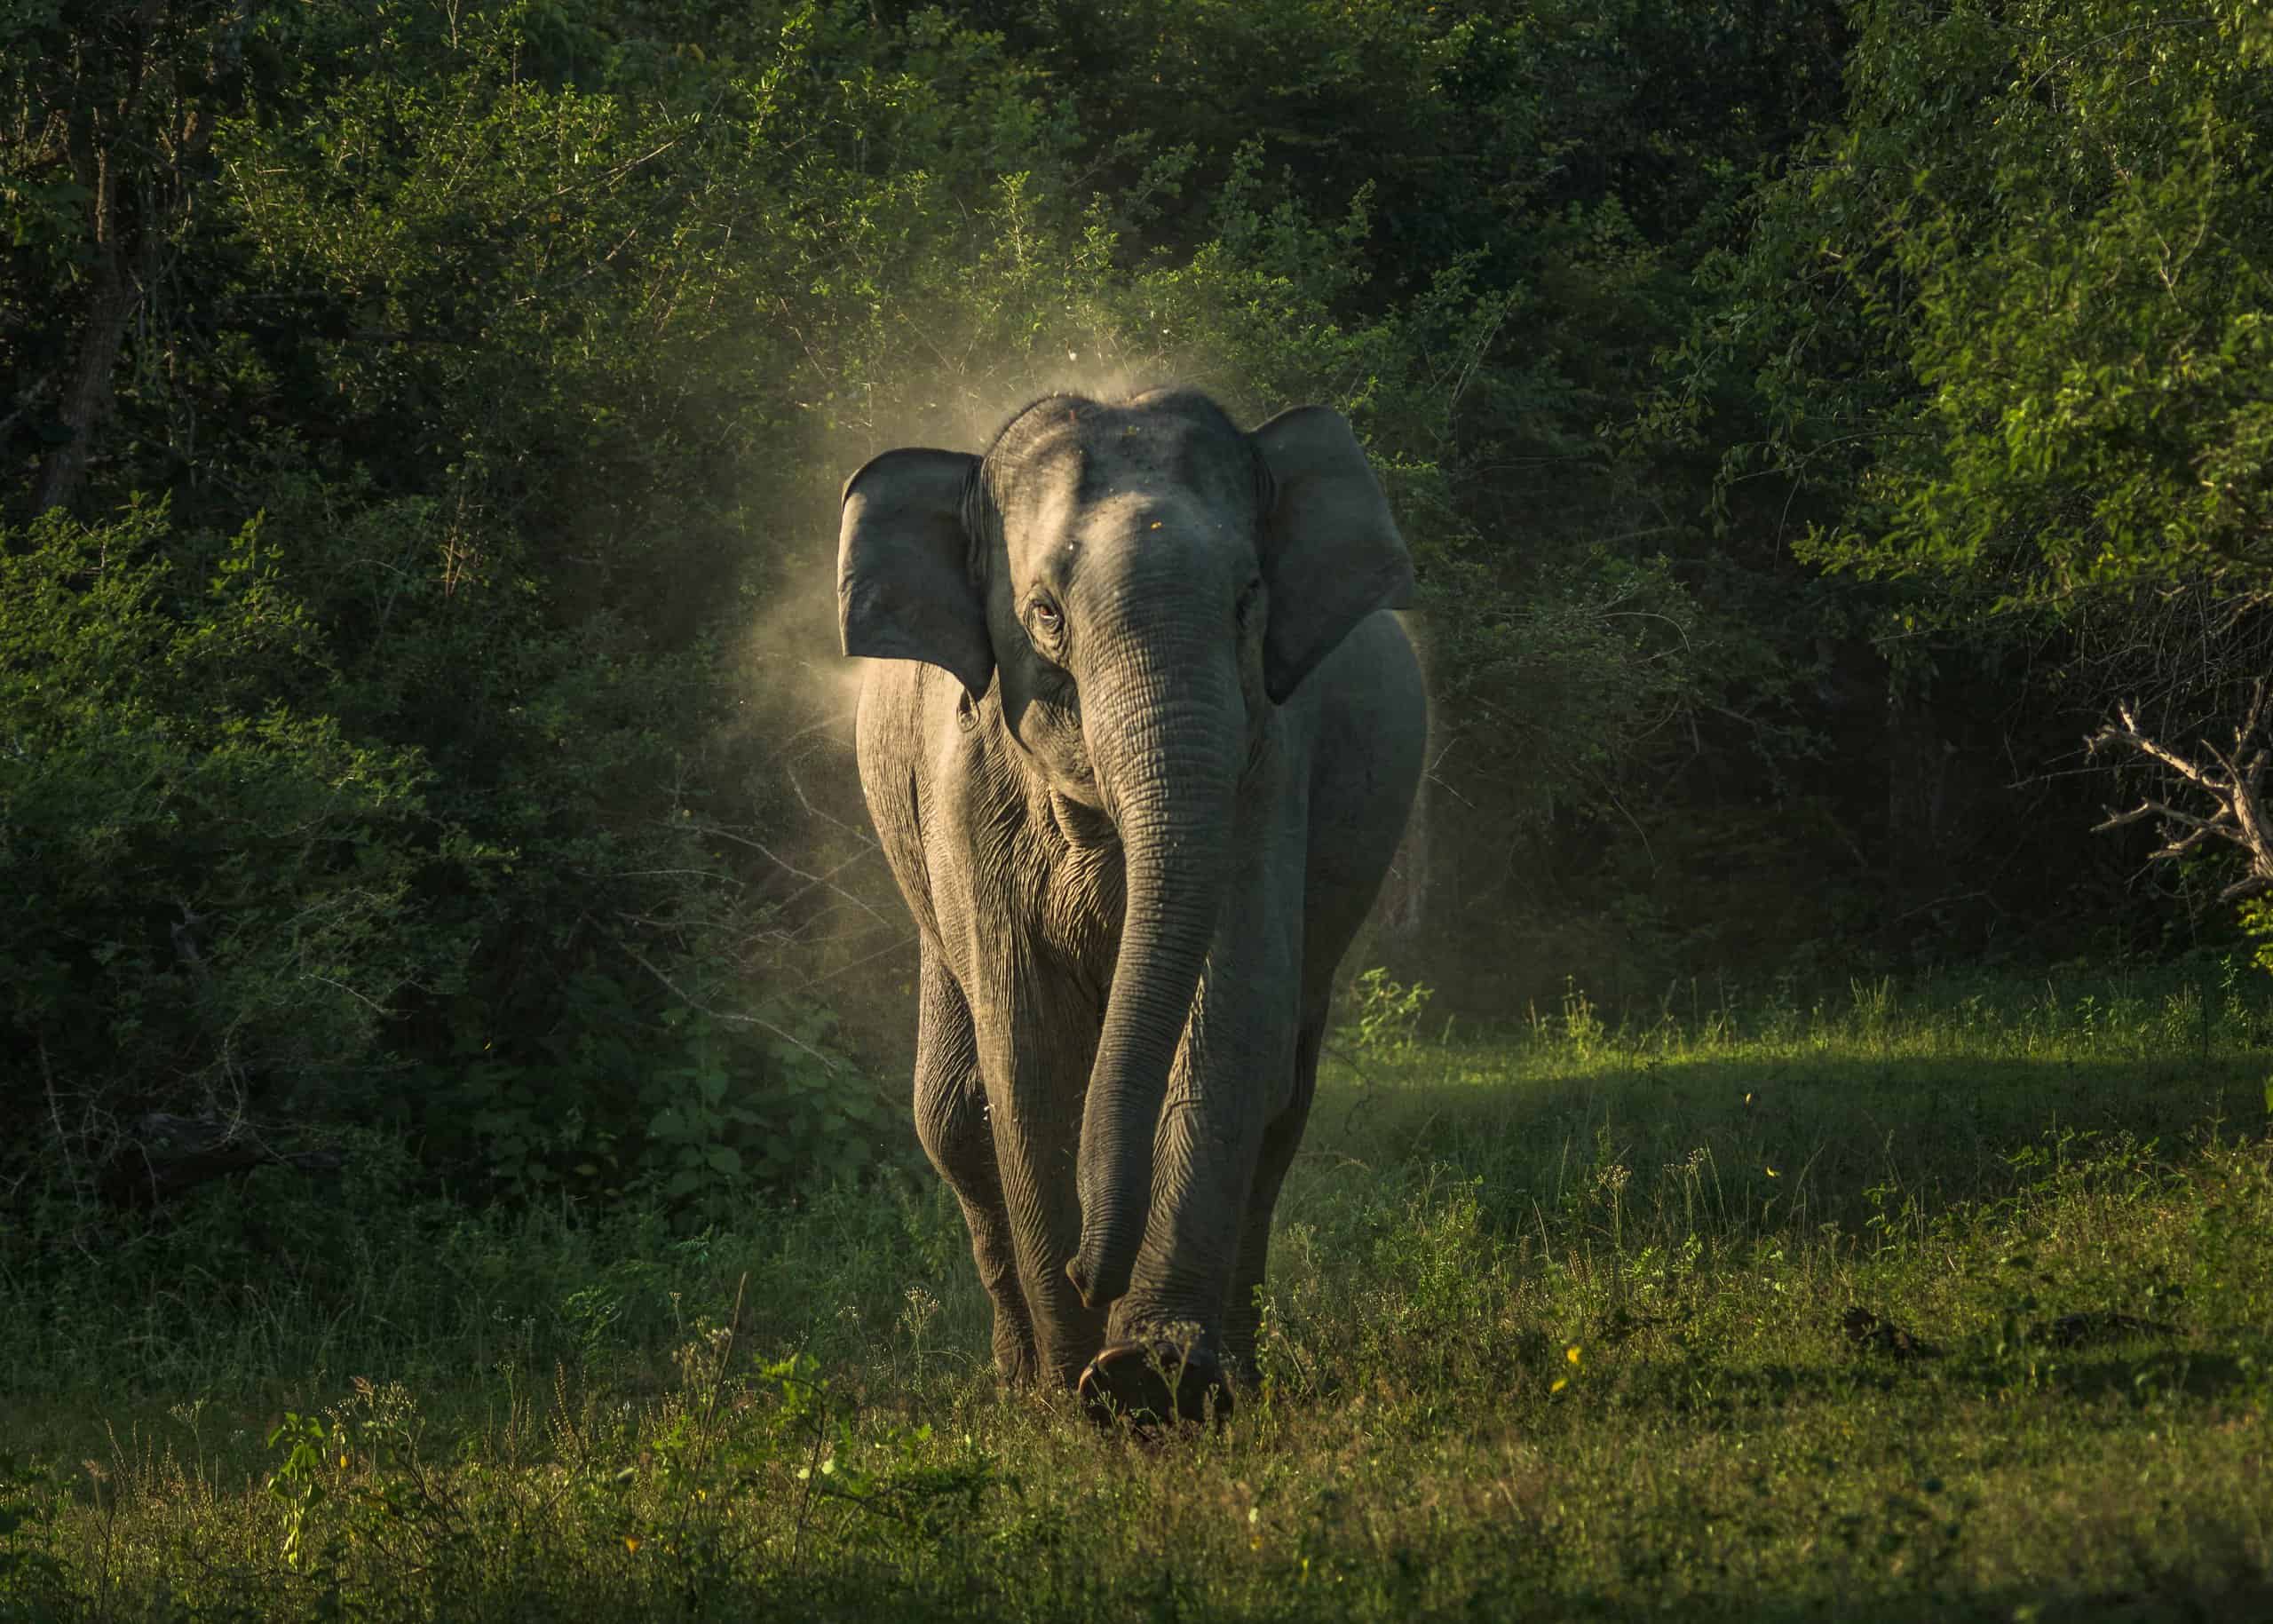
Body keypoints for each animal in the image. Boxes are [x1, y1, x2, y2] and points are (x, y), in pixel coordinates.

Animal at [837, 386, 1424, 1425]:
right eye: (1042, 614)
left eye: (1247, 599)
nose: (1088, 1273)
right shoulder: (968, 787)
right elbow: (1027, 1055)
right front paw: (1079, 1393)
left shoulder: (1269, 768)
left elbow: (1226, 1022)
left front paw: (1147, 1378)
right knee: (950, 1112)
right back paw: (1022, 1385)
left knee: (1282, 1101)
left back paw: (1228, 1372)